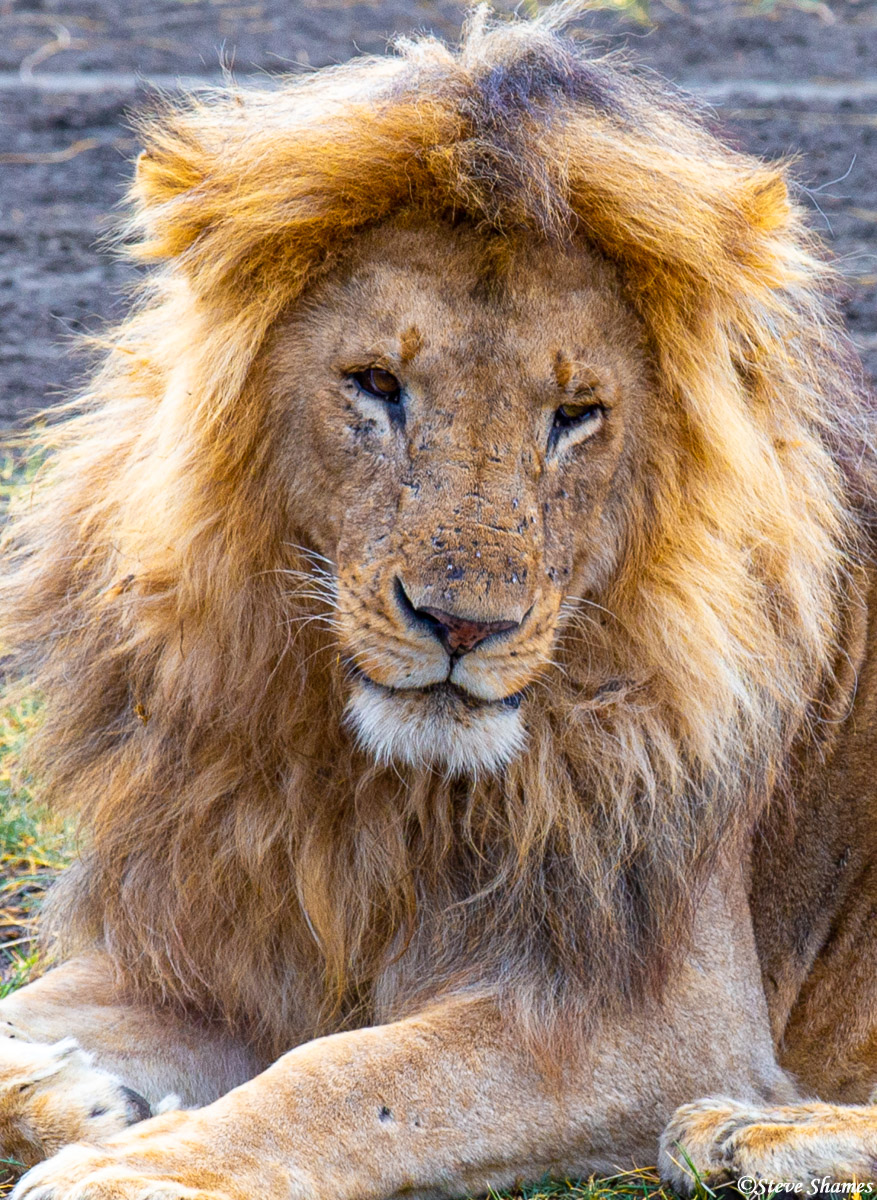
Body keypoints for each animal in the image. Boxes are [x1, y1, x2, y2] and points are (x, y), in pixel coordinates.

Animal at [1, 2, 877, 1200]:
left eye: (576, 413)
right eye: (376, 385)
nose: (463, 625)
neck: (378, 789)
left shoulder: (654, 1020)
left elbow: (348, 1082)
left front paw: (131, 1171)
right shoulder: (221, 941)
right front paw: (76, 1097)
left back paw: (747, 1136)